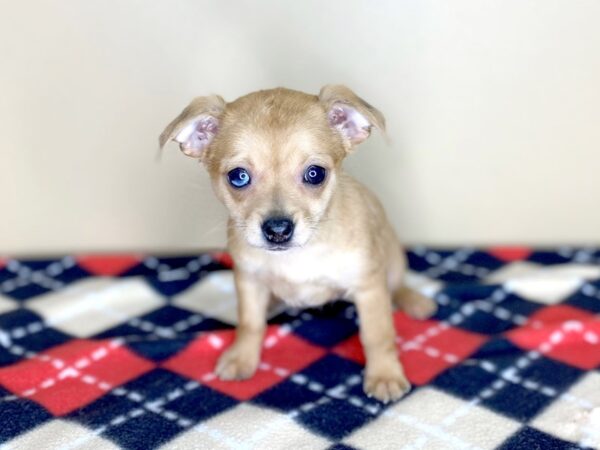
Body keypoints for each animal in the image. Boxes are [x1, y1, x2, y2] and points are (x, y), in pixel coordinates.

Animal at [159, 86, 436, 402]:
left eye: (315, 174)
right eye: (238, 177)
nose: (278, 229)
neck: (299, 255)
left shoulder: (369, 288)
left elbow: (377, 335)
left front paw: (385, 375)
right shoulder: (249, 281)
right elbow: (250, 324)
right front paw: (242, 358)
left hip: (392, 259)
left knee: (397, 284)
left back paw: (414, 301)